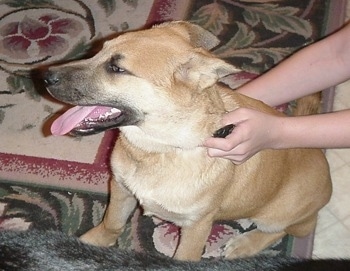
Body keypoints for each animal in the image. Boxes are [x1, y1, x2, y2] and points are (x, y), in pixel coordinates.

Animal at [45, 21, 332, 262]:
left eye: (117, 69)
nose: (45, 76)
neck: (159, 150)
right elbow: (112, 223)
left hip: (279, 215)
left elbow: (184, 257)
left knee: (293, 228)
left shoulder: (197, 225)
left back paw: (246, 244)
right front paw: (90, 243)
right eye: (97, 52)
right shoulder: (120, 188)